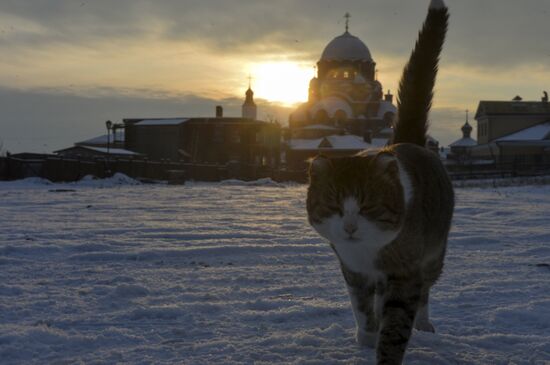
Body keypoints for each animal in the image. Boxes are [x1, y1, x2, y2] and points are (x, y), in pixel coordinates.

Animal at [306, 1, 452, 362]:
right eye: (332, 204)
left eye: (369, 204)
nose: (349, 227)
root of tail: (407, 141)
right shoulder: (353, 270)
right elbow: (363, 310)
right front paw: (365, 339)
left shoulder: (404, 274)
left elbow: (395, 325)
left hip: (433, 257)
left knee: (425, 294)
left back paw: (423, 324)